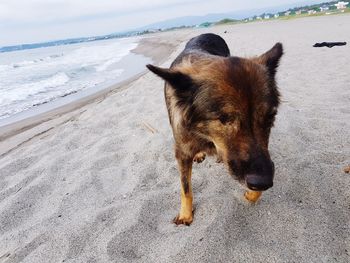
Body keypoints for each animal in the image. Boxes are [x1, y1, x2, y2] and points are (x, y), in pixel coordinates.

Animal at [146, 33, 284, 227]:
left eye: (270, 116)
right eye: (224, 119)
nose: (263, 182)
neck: (207, 135)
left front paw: (252, 194)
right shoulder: (182, 153)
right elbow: (185, 188)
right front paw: (186, 214)